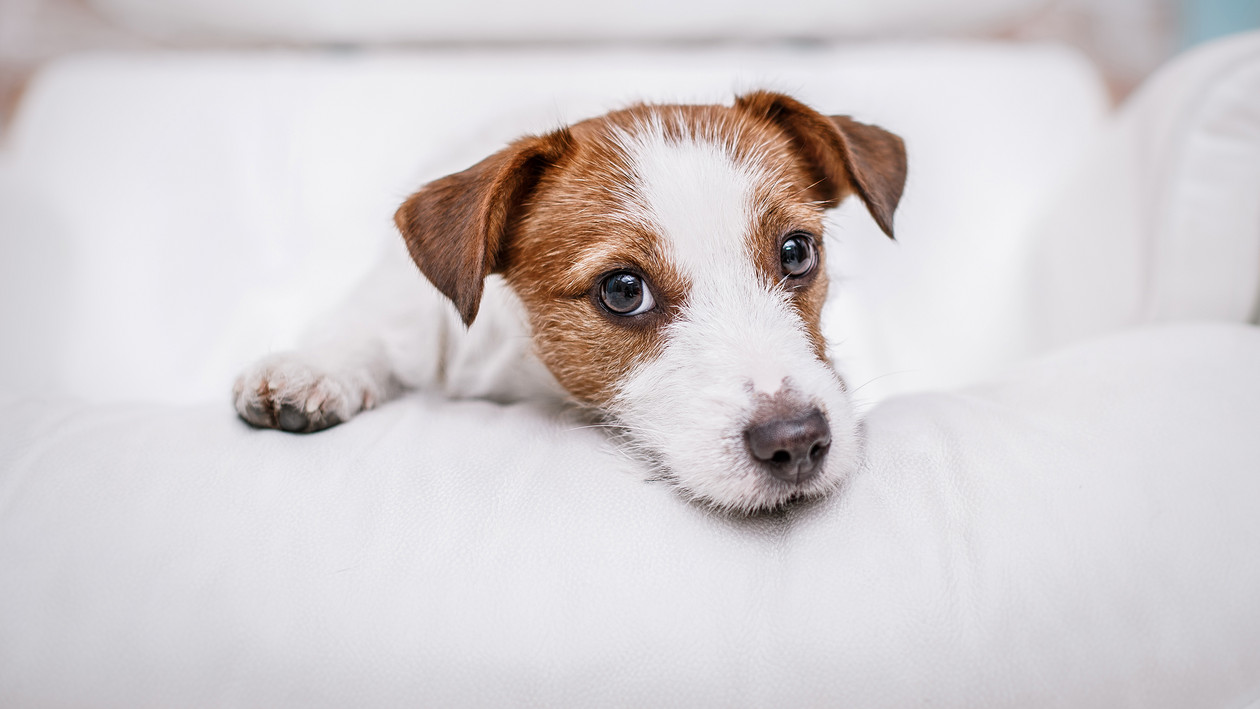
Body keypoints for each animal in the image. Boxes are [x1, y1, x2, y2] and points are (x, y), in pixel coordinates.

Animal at [234, 91, 907, 516]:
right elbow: (364, 330)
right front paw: (312, 370)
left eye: (796, 252)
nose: (796, 441)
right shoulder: (408, 316)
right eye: (623, 290)